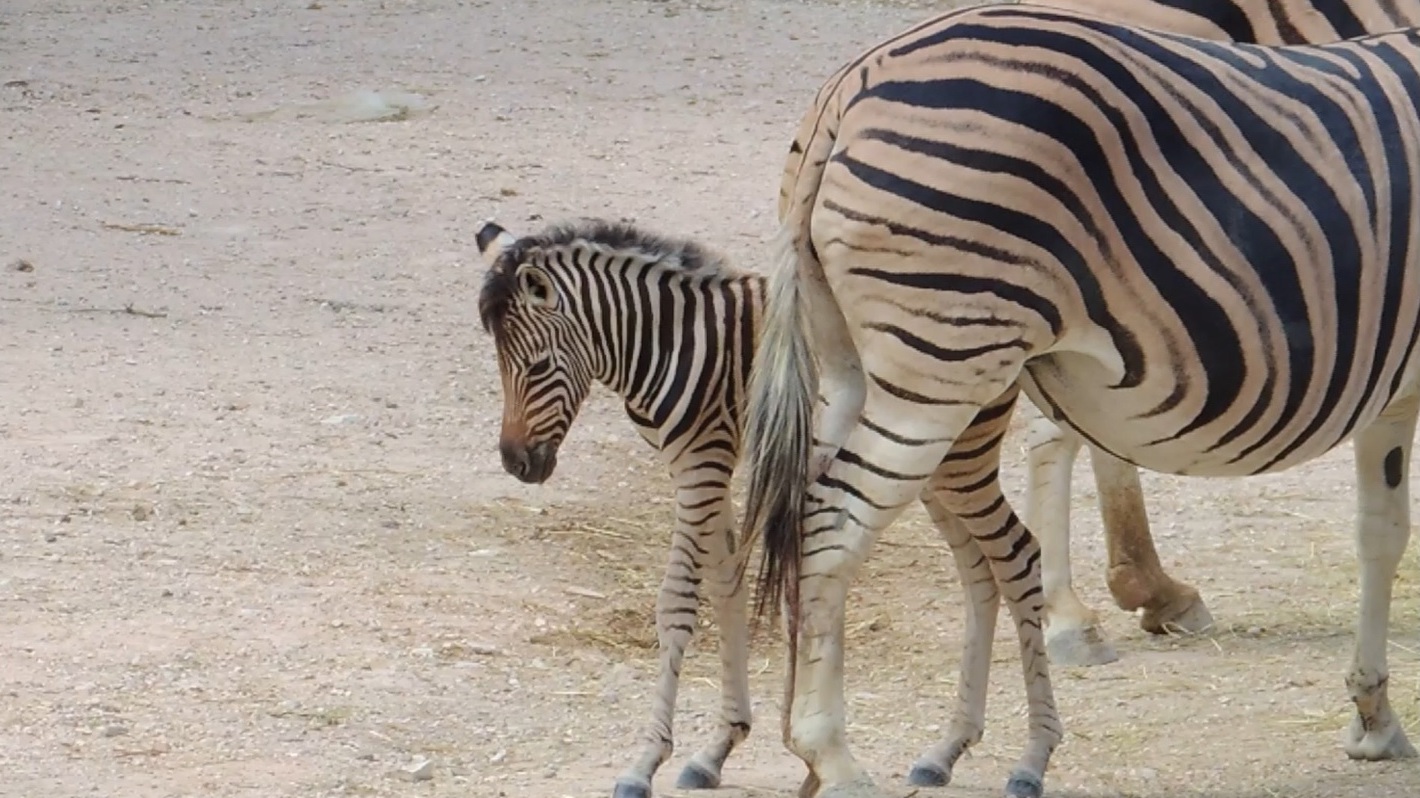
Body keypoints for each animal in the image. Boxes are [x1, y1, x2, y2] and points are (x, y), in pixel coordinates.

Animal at [740, 5, 1420, 798]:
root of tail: (853, 83)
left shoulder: (1391, 393)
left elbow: (1379, 534)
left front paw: (1373, 715)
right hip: (938, 367)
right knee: (830, 522)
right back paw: (834, 756)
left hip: (856, 366)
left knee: (807, 514)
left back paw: (805, 750)